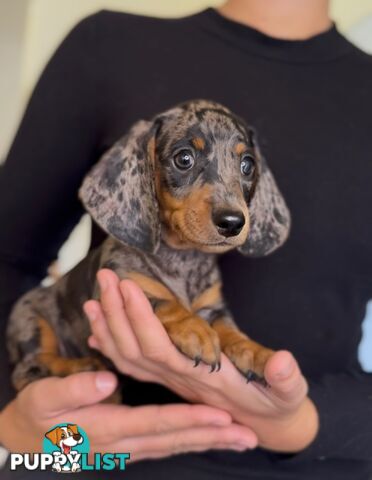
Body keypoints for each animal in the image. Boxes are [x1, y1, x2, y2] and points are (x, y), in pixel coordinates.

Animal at [6, 99, 290, 392]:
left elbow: (229, 328)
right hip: (30, 318)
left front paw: (254, 350)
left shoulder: (213, 306)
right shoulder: (126, 284)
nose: (232, 222)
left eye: (248, 165)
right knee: (29, 369)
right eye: (184, 159)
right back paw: (82, 366)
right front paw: (196, 329)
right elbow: (164, 302)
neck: (184, 259)